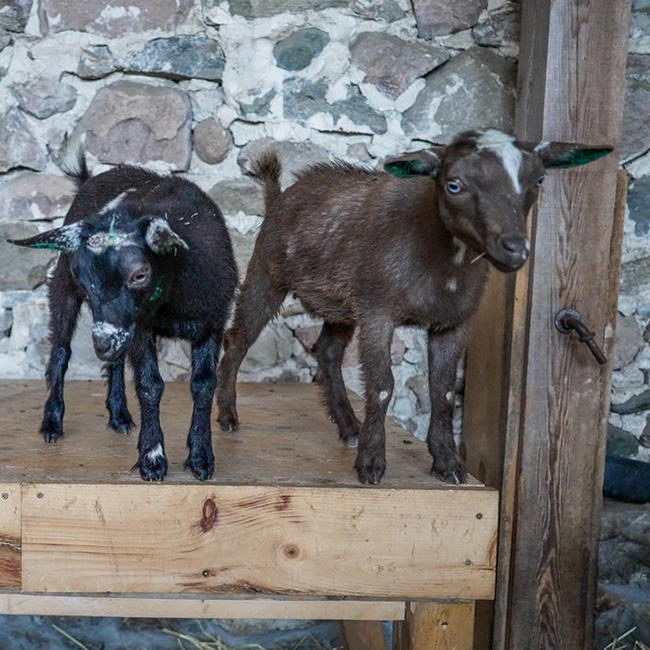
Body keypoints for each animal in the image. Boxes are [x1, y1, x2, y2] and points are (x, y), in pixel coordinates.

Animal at [9, 140, 238, 481]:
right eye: (81, 274)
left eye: (139, 274)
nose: (101, 344)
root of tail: (88, 179)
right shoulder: (141, 327)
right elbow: (150, 385)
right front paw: (152, 459)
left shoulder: (213, 323)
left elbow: (204, 384)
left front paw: (201, 457)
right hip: (64, 290)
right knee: (60, 351)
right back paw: (52, 423)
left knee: (114, 362)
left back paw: (119, 415)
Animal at [216, 129, 611, 485]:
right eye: (454, 185)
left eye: (539, 179)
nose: (514, 247)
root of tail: (278, 197)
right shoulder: (378, 312)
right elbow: (383, 385)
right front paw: (372, 465)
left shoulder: (453, 323)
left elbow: (444, 391)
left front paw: (448, 464)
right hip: (267, 273)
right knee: (238, 338)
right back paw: (228, 415)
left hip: (343, 305)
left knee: (326, 351)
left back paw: (349, 426)